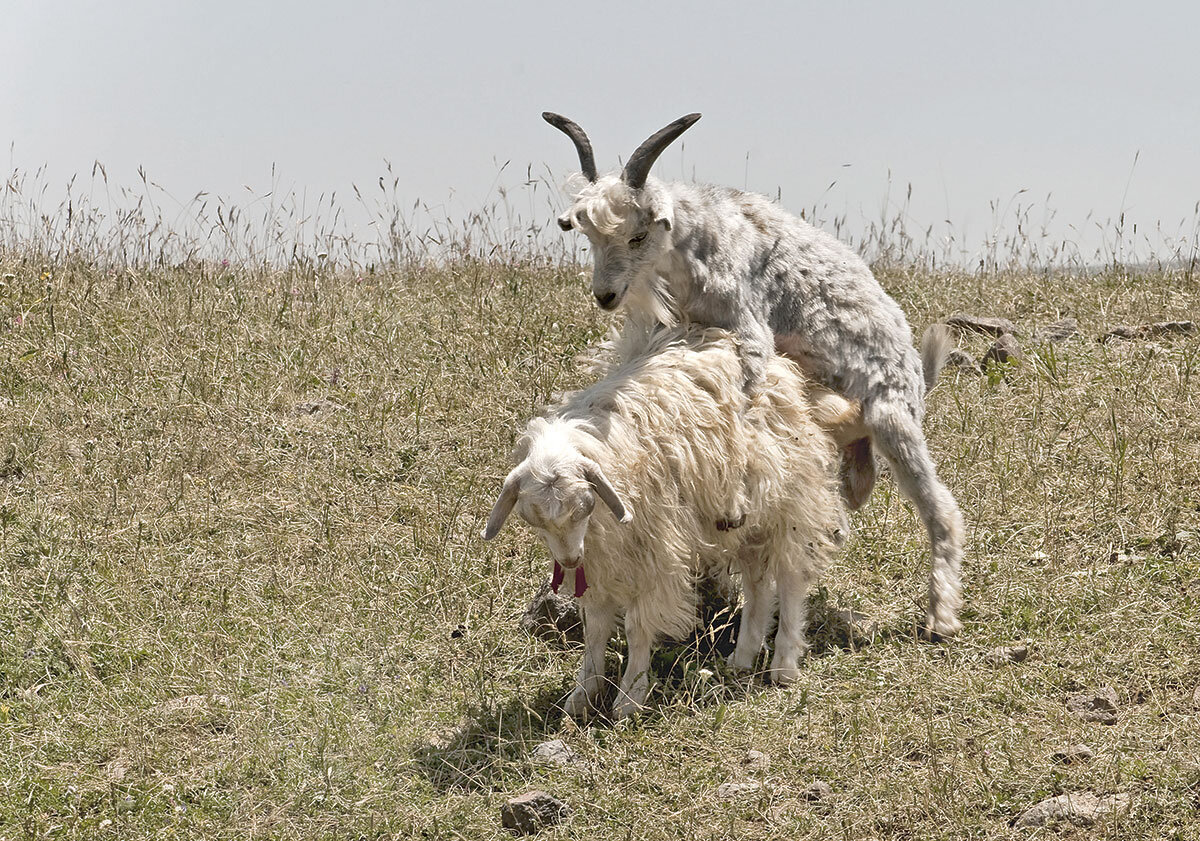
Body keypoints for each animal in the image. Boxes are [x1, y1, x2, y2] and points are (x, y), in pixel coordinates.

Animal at [477, 323, 854, 719]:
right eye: (533, 519)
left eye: (585, 505)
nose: (568, 560)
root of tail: (783, 369)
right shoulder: (599, 563)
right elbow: (595, 628)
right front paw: (583, 694)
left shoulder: (654, 556)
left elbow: (636, 628)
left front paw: (630, 697)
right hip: (747, 518)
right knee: (757, 585)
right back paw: (743, 657)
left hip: (789, 503)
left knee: (791, 577)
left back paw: (784, 664)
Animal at [544, 111, 964, 638]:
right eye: (590, 236)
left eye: (637, 236)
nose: (605, 296)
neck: (696, 244)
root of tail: (917, 370)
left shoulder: (749, 329)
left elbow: (744, 402)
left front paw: (737, 504)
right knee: (855, 488)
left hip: (894, 418)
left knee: (942, 509)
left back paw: (941, 616)